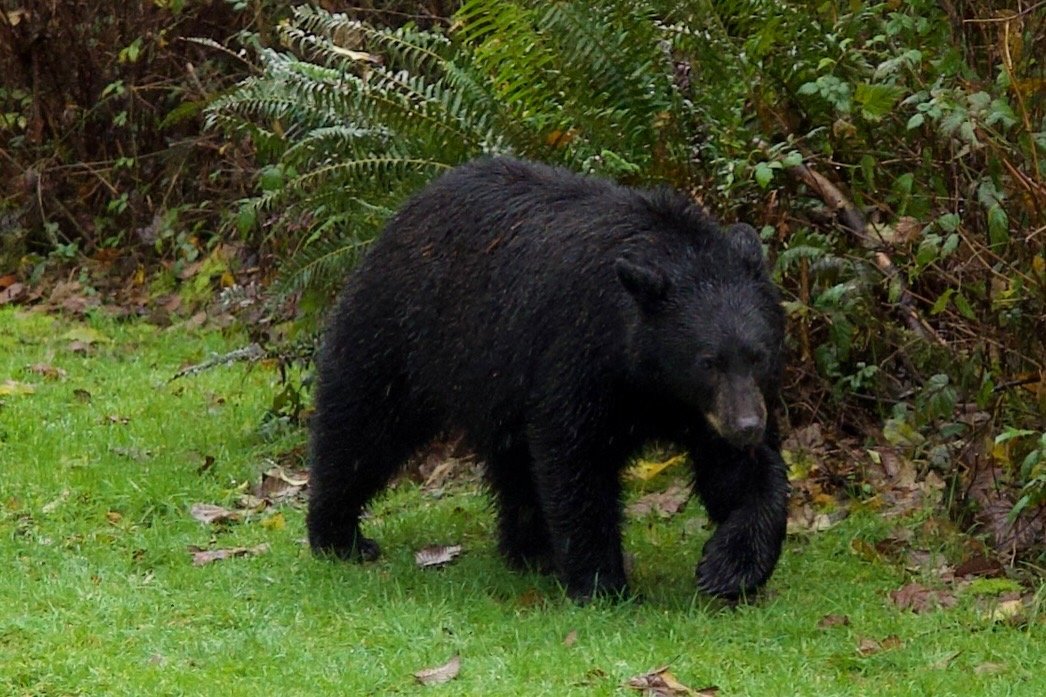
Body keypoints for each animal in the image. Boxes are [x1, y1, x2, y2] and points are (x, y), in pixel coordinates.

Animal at [307, 157, 789, 601]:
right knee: (362, 425)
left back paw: (530, 550)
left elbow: (744, 476)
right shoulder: (581, 351)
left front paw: (729, 567)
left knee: (513, 461)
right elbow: (575, 456)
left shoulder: (708, 407)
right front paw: (601, 582)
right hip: (404, 332)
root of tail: (407, 210)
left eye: (758, 355)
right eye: (707, 361)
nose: (746, 427)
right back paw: (338, 536)